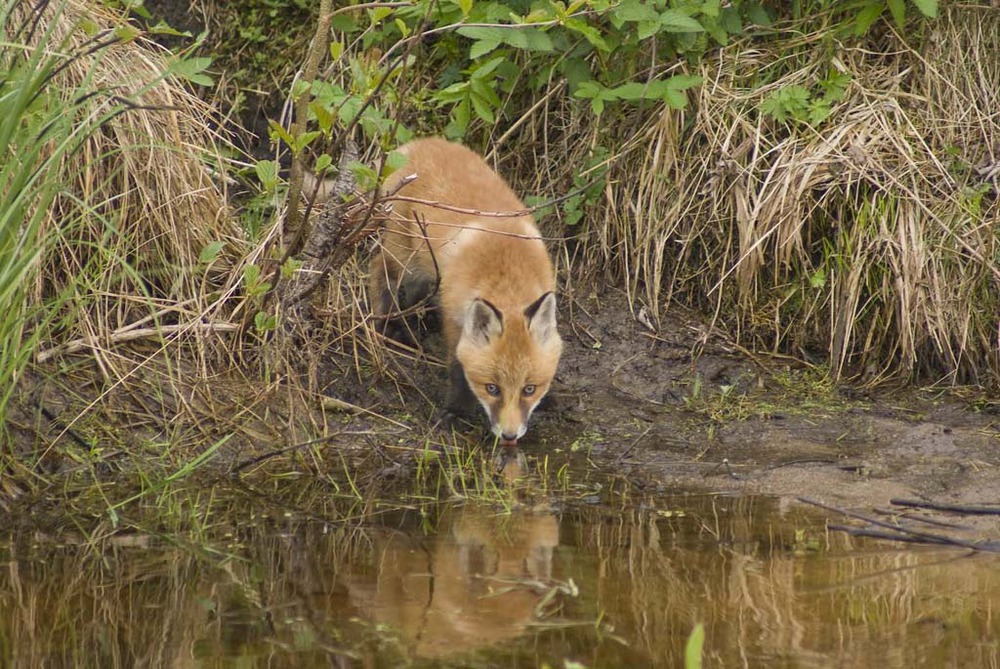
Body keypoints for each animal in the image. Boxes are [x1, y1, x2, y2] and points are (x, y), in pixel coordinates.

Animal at [374, 138, 564, 444]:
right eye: (492, 388)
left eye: (529, 389)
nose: (509, 436)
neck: (507, 276)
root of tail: (417, 143)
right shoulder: (454, 316)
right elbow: (457, 369)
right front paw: (455, 410)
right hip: (405, 259)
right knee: (379, 271)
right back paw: (388, 325)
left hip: (424, 266)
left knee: (413, 292)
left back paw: (412, 325)